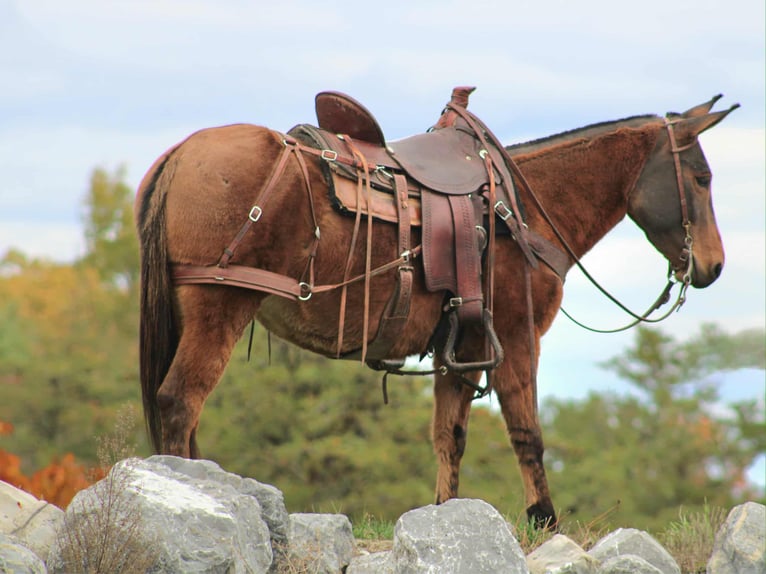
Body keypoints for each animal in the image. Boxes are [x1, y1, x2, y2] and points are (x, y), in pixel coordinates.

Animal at [135, 91, 737, 528]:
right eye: (702, 178)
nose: (713, 266)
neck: (523, 207)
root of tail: (183, 153)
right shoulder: (517, 338)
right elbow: (528, 435)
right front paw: (544, 523)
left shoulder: (462, 347)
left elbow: (450, 437)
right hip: (219, 308)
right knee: (178, 403)